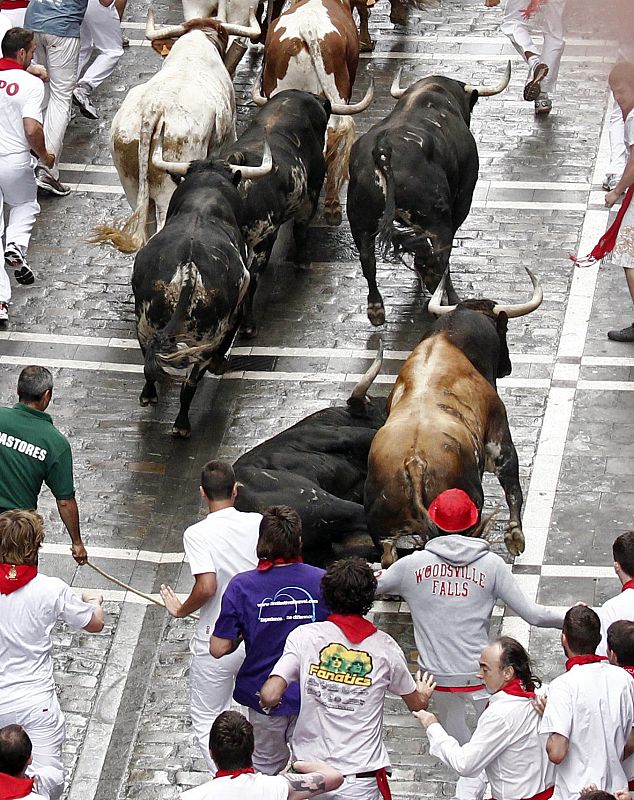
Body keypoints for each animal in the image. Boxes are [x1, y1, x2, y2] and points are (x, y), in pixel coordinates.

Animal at [344, 62, 512, 324]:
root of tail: (383, 151)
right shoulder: (462, 199)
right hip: (437, 221)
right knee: (439, 261)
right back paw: (449, 298)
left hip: (359, 219)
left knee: (367, 258)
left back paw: (376, 309)